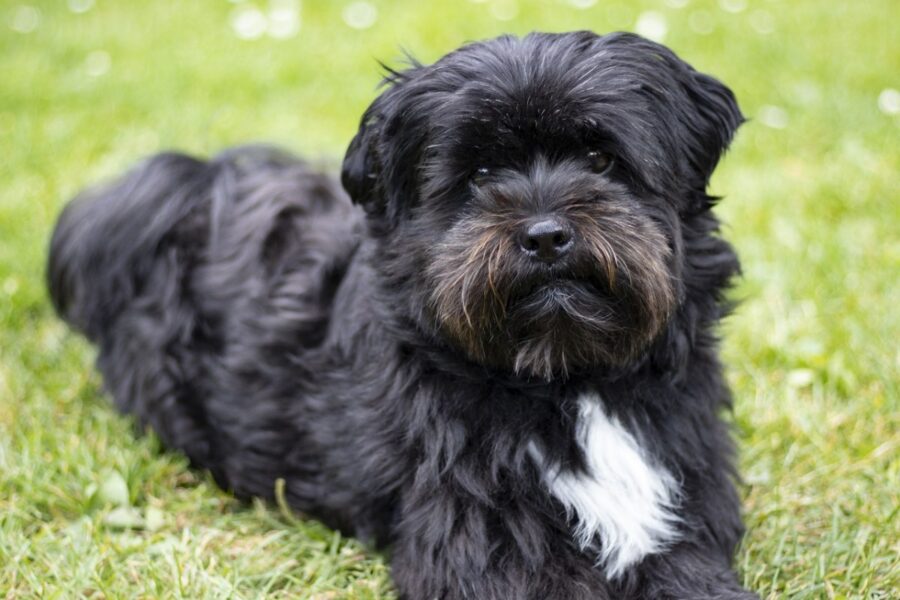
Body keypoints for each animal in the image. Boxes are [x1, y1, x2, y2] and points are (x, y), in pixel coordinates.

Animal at [47, 31, 752, 600]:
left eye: (602, 159)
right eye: (481, 173)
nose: (546, 235)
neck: (567, 379)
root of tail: (185, 196)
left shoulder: (683, 507)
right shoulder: (484, 551)